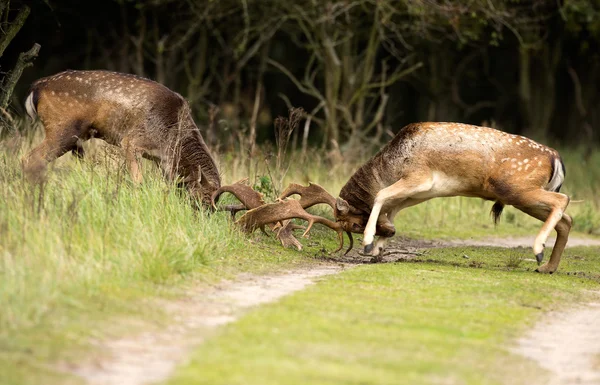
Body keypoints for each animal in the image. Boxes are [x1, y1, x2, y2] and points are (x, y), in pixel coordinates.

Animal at [22, 68, 223, 207]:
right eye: (200, 198)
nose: (202, 217)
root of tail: (36, 87)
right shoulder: (132, 141)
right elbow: (138, 181)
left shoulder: (163, 163)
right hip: (62, 128)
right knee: (31, 158)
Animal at [213, 122, 568, 272]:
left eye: (351, 225)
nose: (368, 236)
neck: (391, 164)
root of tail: (556, 158)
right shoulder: (421, 189)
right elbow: (391, 207)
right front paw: (380, 245)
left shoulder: (420, 175)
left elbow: (383, 195)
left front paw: (371, 243)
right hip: (524, 195)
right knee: (566, 218)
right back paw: (547, 267)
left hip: (516, 187)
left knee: (563, 204)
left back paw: (538, 252)